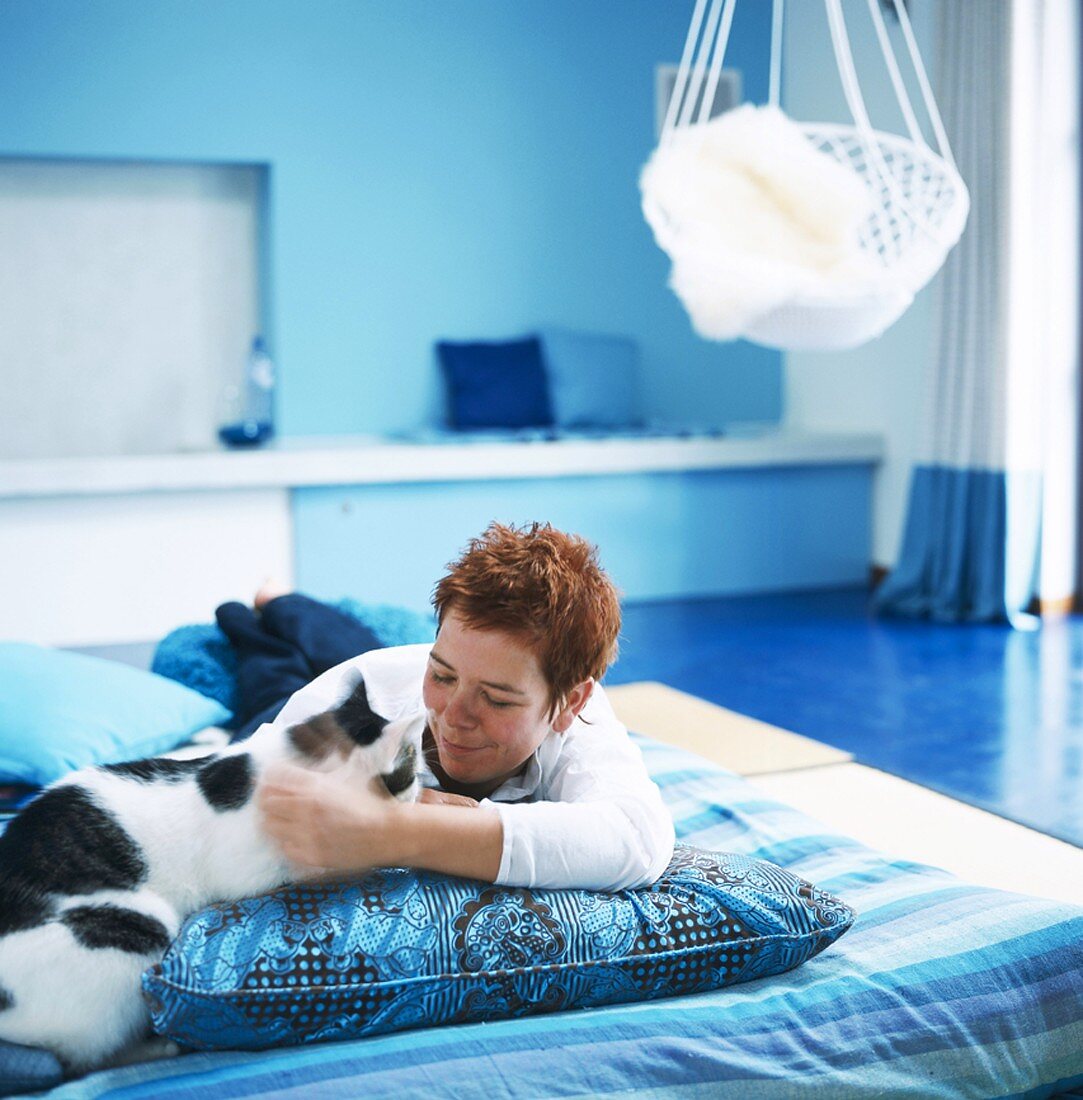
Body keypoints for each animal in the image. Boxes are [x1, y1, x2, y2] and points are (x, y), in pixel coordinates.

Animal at [0, 677, 420, 1073]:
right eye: (412, 773)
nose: (417, 795)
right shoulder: (253, 874)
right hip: (137, 927)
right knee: (83, 1056)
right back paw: (160, 1047)